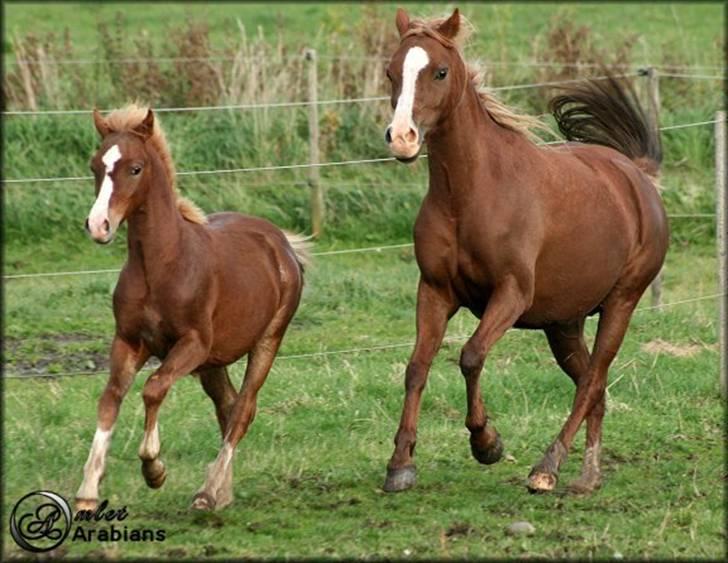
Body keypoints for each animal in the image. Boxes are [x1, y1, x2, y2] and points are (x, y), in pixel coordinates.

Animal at [75, 104, 308, 512]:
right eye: (95, 165)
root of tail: (280, 242)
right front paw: (88, 490)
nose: (99, 226)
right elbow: (110, 398)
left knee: (242, 409)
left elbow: (153, 388)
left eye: (135, 168)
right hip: (213, 362)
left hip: (266, 341)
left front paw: (153, 469)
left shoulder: (192, 344)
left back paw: (207, 492)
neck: (161, 266)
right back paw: (221, 491)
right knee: (227, 406)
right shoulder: (129, 341)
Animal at [384, 7, 668, 494]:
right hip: (564, 324)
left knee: (592, 382)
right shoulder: (435, 290)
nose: (402, 138)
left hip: (621, 303)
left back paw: (546, 468)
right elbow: (417, 367)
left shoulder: (511, 293)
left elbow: (471, 355)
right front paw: (400, 464)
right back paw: (588, 476)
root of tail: (637, 176)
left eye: (439, 71)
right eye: (391, 72)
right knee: (594, 386)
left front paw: (487, 443)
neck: (470, 195)